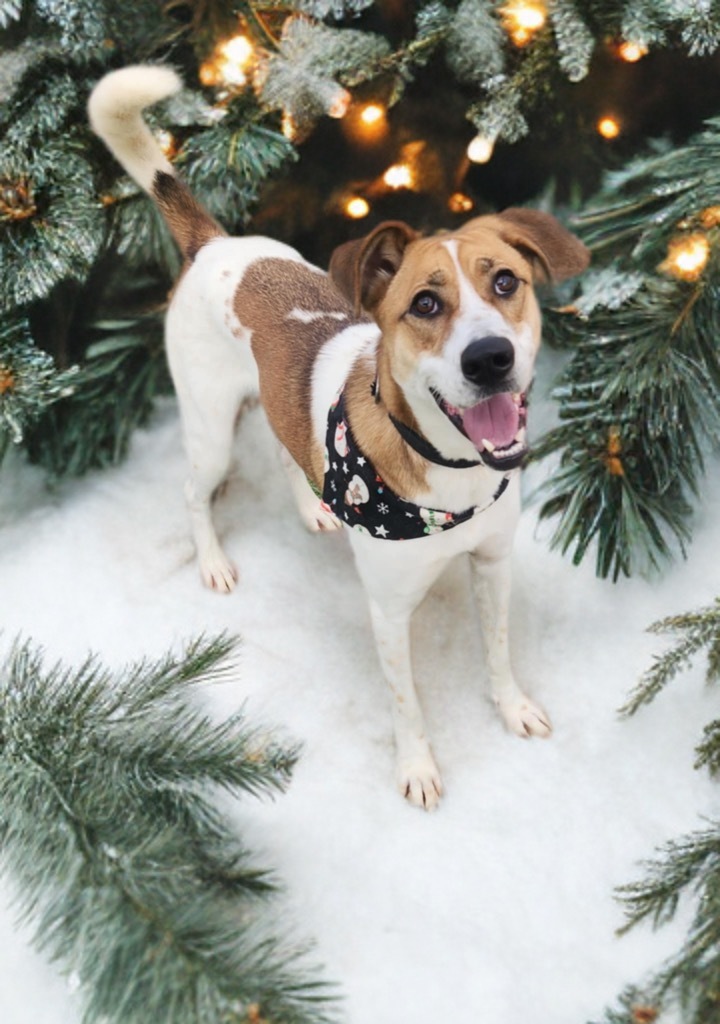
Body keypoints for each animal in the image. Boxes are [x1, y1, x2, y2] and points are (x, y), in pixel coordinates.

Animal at [90, 68, 589, 811]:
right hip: (209, 430)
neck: (452, 475)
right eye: (424, 304)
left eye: (507, 281)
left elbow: (498, 650)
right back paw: (212, 560)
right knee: (193, 491)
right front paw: (417, 768)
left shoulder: (493, 563)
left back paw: (313, 507)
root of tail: (213, 244)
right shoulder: (389, 611)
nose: (490, 358)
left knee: (285, 448)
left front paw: (512, 706)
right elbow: (407, 702)